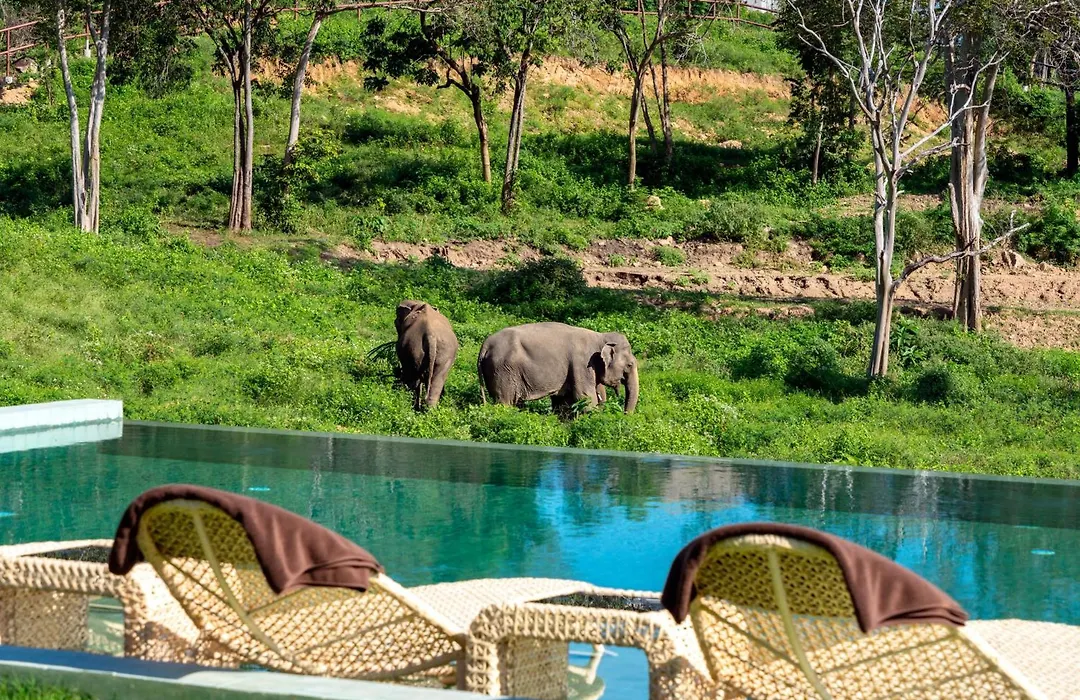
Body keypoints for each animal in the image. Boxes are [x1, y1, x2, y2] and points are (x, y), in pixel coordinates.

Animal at [477, 322, 639, 415]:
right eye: (630, 365)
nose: (624, 415)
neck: (601, 337)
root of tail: (485, 345)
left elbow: (563, 401)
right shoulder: (581, 363)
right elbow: (585, 398)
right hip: (503, 371)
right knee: (505, 402)